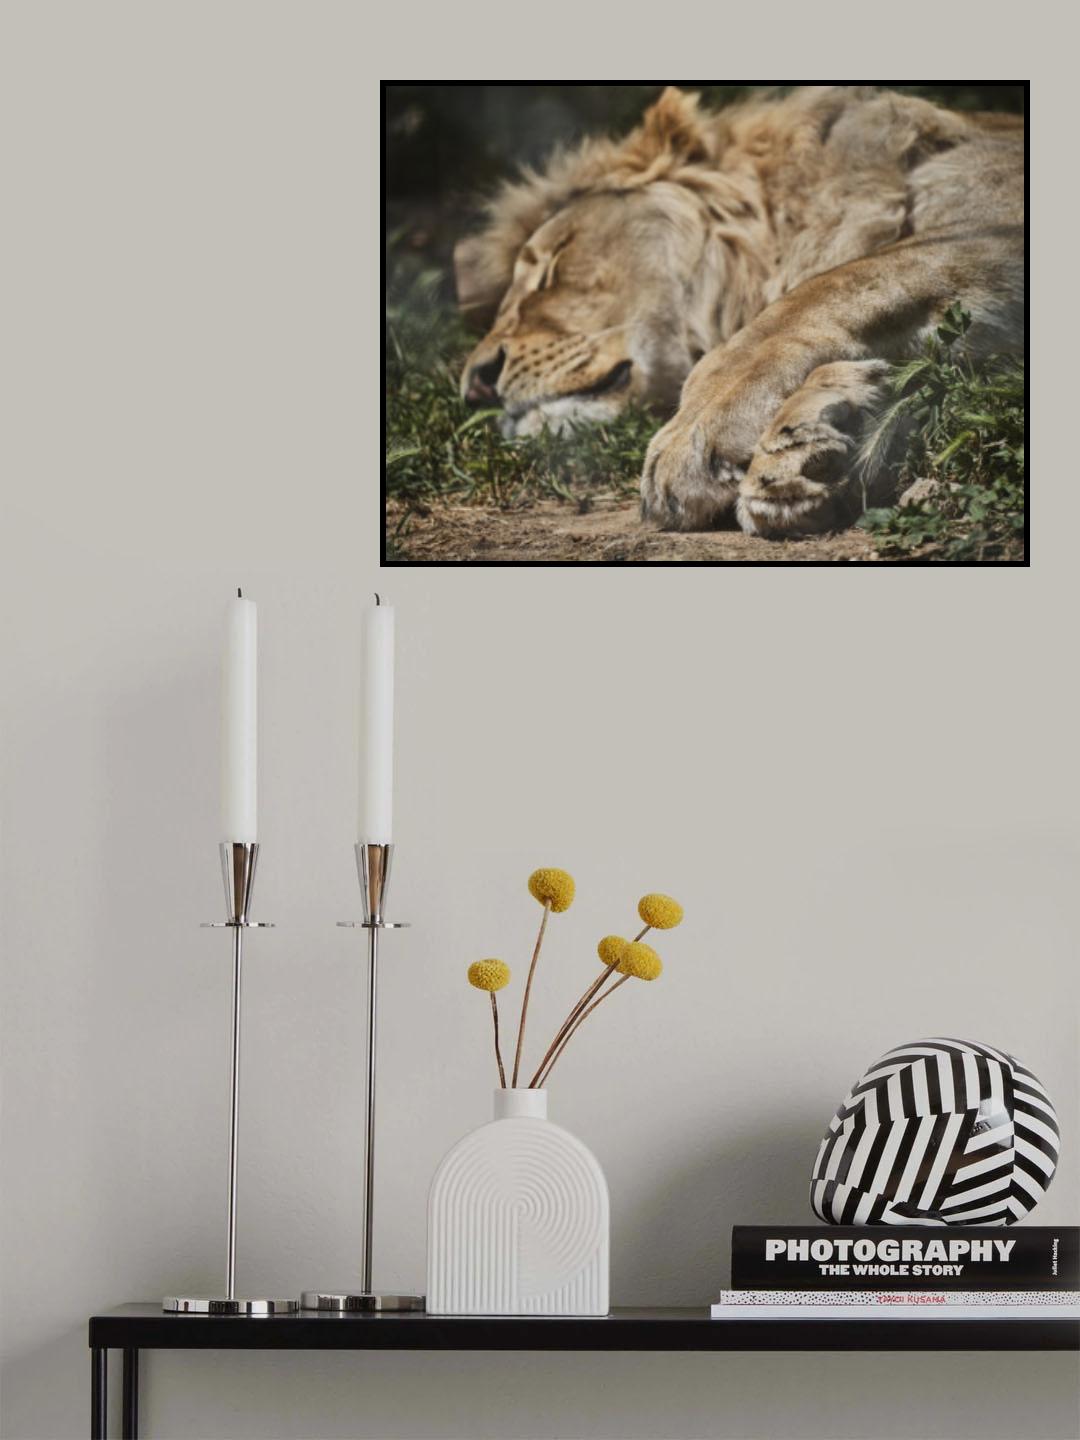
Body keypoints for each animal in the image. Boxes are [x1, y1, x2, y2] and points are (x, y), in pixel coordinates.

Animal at [454, 86, 1024, 537]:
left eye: (553, 262)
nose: (475, 385)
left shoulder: (993, 218)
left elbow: (822, 290)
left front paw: (700, 428)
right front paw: (814, 435)